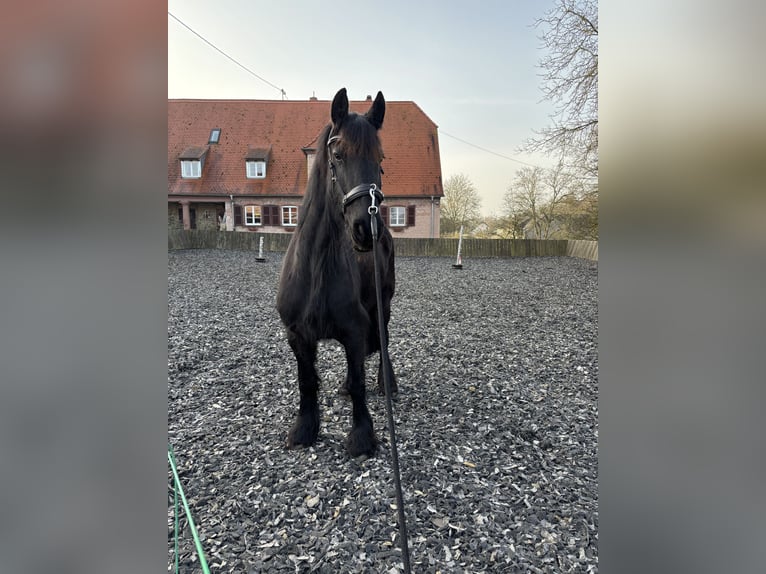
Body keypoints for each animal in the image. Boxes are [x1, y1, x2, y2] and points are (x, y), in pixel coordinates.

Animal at [276, 88, 397, 458]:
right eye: (338, 154)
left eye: (380, 158)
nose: (367, 229)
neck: (316, 268)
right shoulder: (297, 336)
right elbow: (307, 381)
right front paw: (305, 429)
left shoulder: (356, 330)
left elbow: (359, 381)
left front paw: (362, 436)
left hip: (384, 302)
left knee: (384, 342)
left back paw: (389, 382)